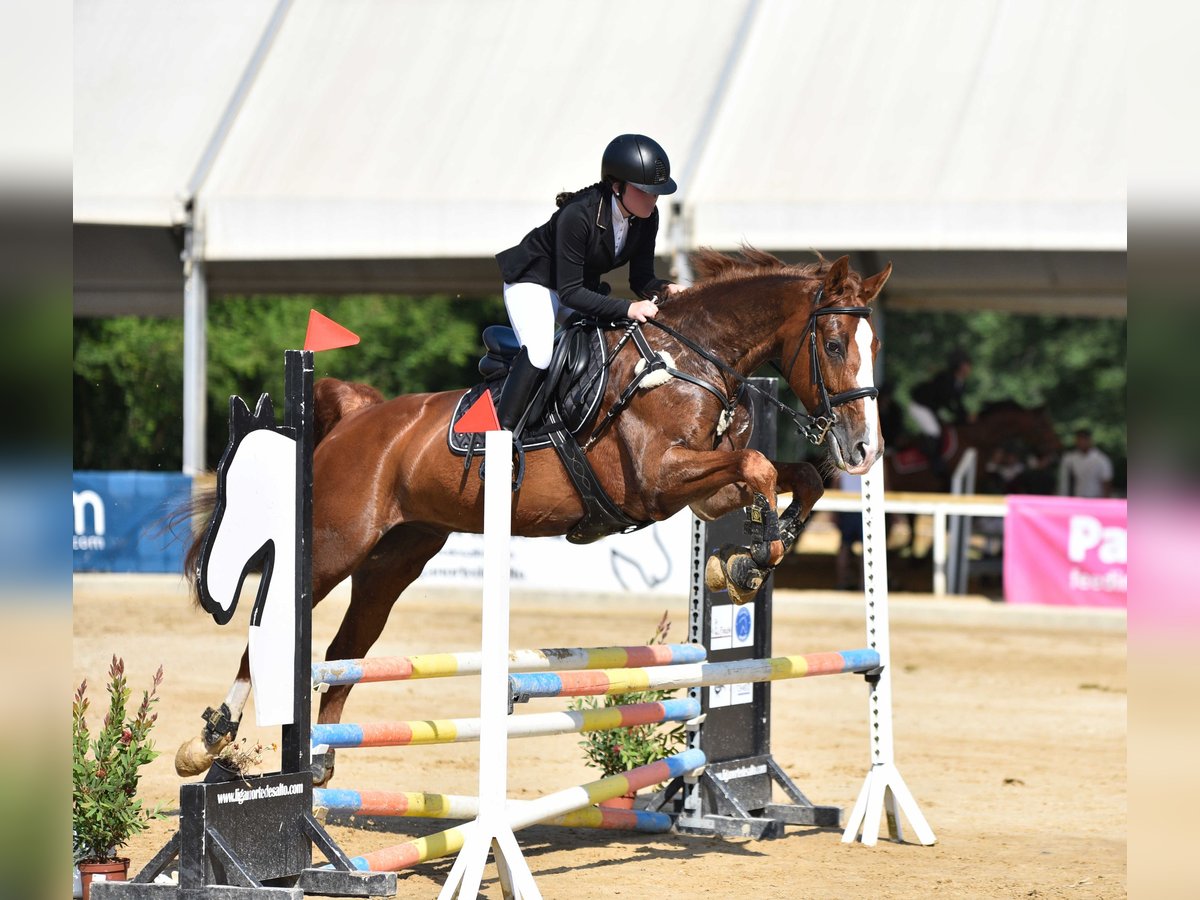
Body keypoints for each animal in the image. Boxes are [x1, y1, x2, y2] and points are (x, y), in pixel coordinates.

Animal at [175, 250, 892, 787]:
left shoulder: (701, 494)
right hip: (332, 547)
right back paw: (208, 742)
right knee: (269, 632)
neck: (690, 362)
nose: (865, 449)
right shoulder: (659, 480)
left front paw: (745, 558)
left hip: (395, 559)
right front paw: (748, 561)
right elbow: (762, 468)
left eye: (874, 344)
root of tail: (357, 417)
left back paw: (321, 757)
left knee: (344, 650)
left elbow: (793, 476)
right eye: (833, 344)